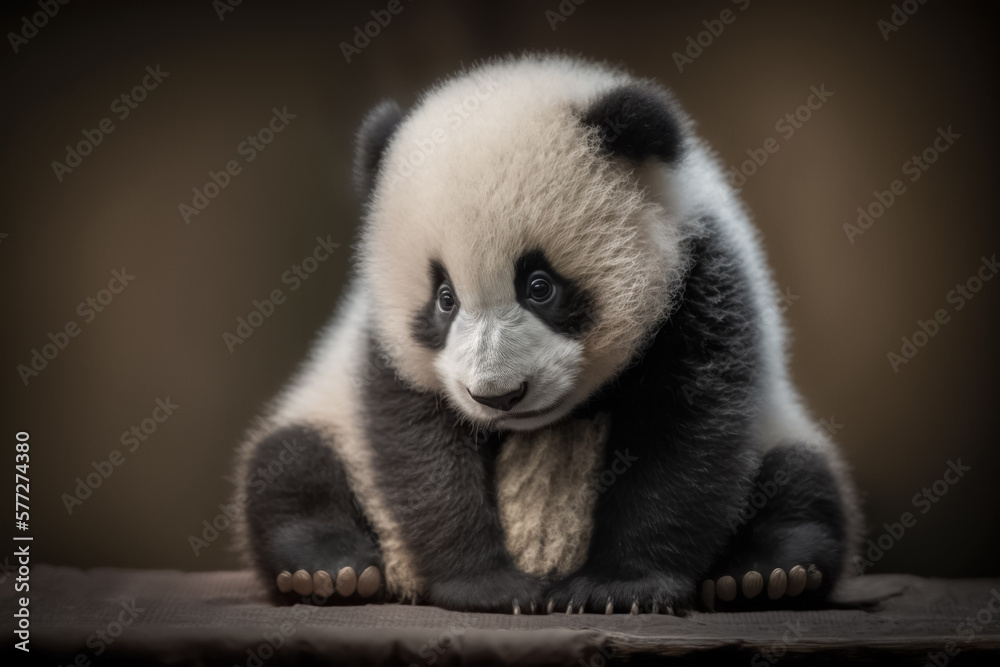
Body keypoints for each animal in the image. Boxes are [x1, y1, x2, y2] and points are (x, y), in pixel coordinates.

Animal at [233, 53, 862, 614]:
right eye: (444, 299)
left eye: (540, 286)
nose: (497, 396)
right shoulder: (386, 348)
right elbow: (418, 444)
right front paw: (490, 586)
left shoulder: (703, 280)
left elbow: (686, 435)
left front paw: (618, 587)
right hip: (327, 416)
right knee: (290, 467)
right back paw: (327, 570)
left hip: (781, 428)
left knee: (802, 484)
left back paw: (768, 575)